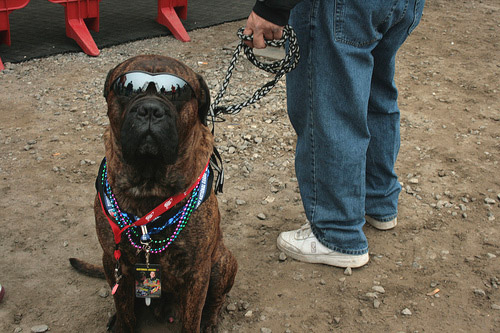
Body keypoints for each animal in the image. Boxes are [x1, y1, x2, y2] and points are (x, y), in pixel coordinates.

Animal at [70, 53, 238, 330]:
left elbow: (192, 319)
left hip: (221, 263)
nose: (150, 109)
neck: (149, 185)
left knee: (216, 299)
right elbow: (124, 308)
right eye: (126, 89)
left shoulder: (198, 271)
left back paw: (210, 320)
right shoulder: (114, 261)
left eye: (177, 93)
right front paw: (122, 323)